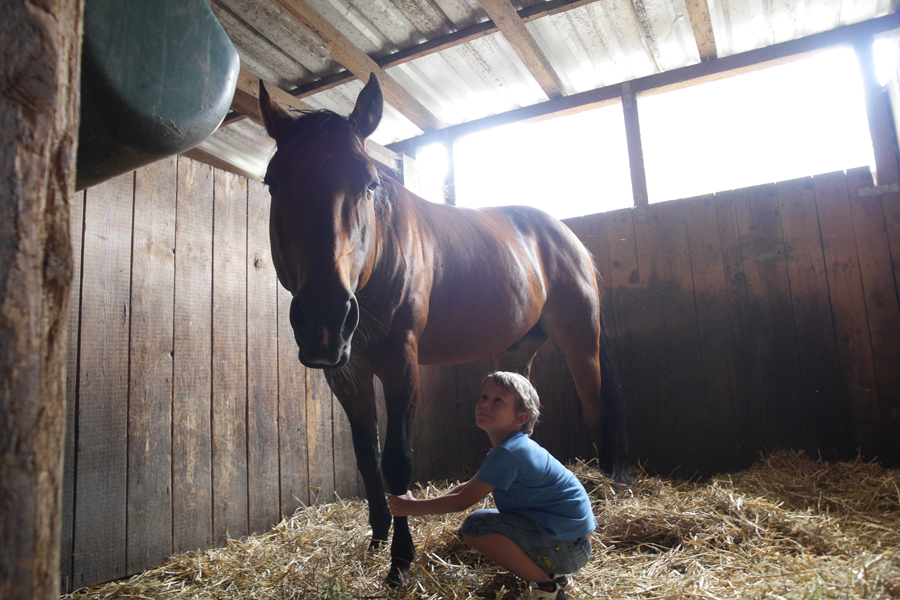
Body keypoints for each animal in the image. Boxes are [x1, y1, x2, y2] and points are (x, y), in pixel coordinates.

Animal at [258, 73, 630, 585]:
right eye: (273, 182)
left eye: (369, 183)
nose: (325, 320)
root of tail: (568, 237)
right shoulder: (347, 373)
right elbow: (366, 455)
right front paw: (376, 539)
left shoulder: (401, 363)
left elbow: (397, 460)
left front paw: (400, 559)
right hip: (514, 351)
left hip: (580, 340)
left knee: (596, 409)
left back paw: (607, 490)